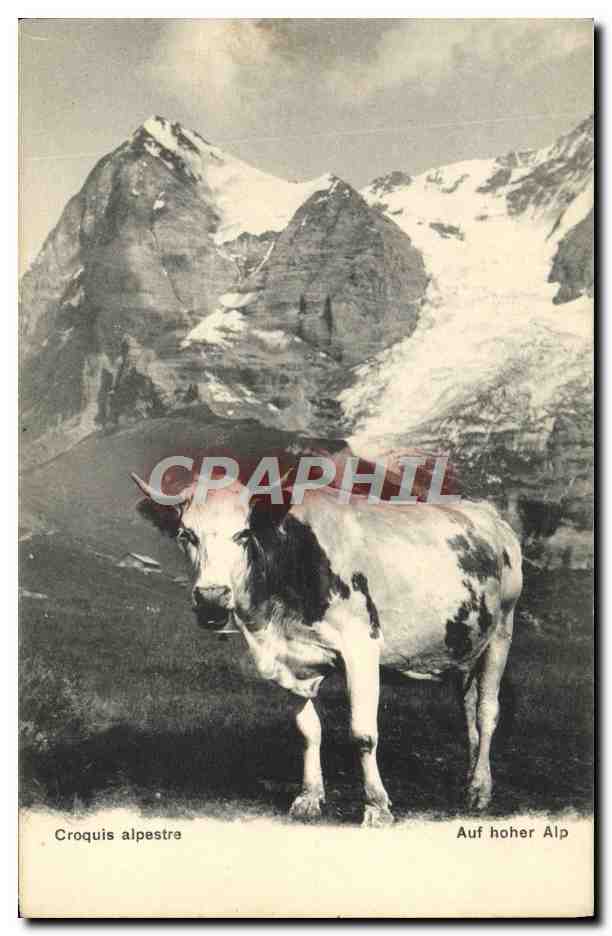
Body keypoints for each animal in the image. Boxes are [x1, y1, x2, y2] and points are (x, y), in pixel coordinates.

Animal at [130, 464, 522, 827]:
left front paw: (377, 806)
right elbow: (308, 730)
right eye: (186, 534)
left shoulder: (362, 648)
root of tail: (489, 515)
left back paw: (480, 788)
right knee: (468, 706)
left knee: (487, 711)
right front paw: (309, 797)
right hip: (464, 643)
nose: (211, 597)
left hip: (502, 629)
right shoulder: (292, 659)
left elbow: (363, 734)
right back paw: (470, 777)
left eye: (243, 534)